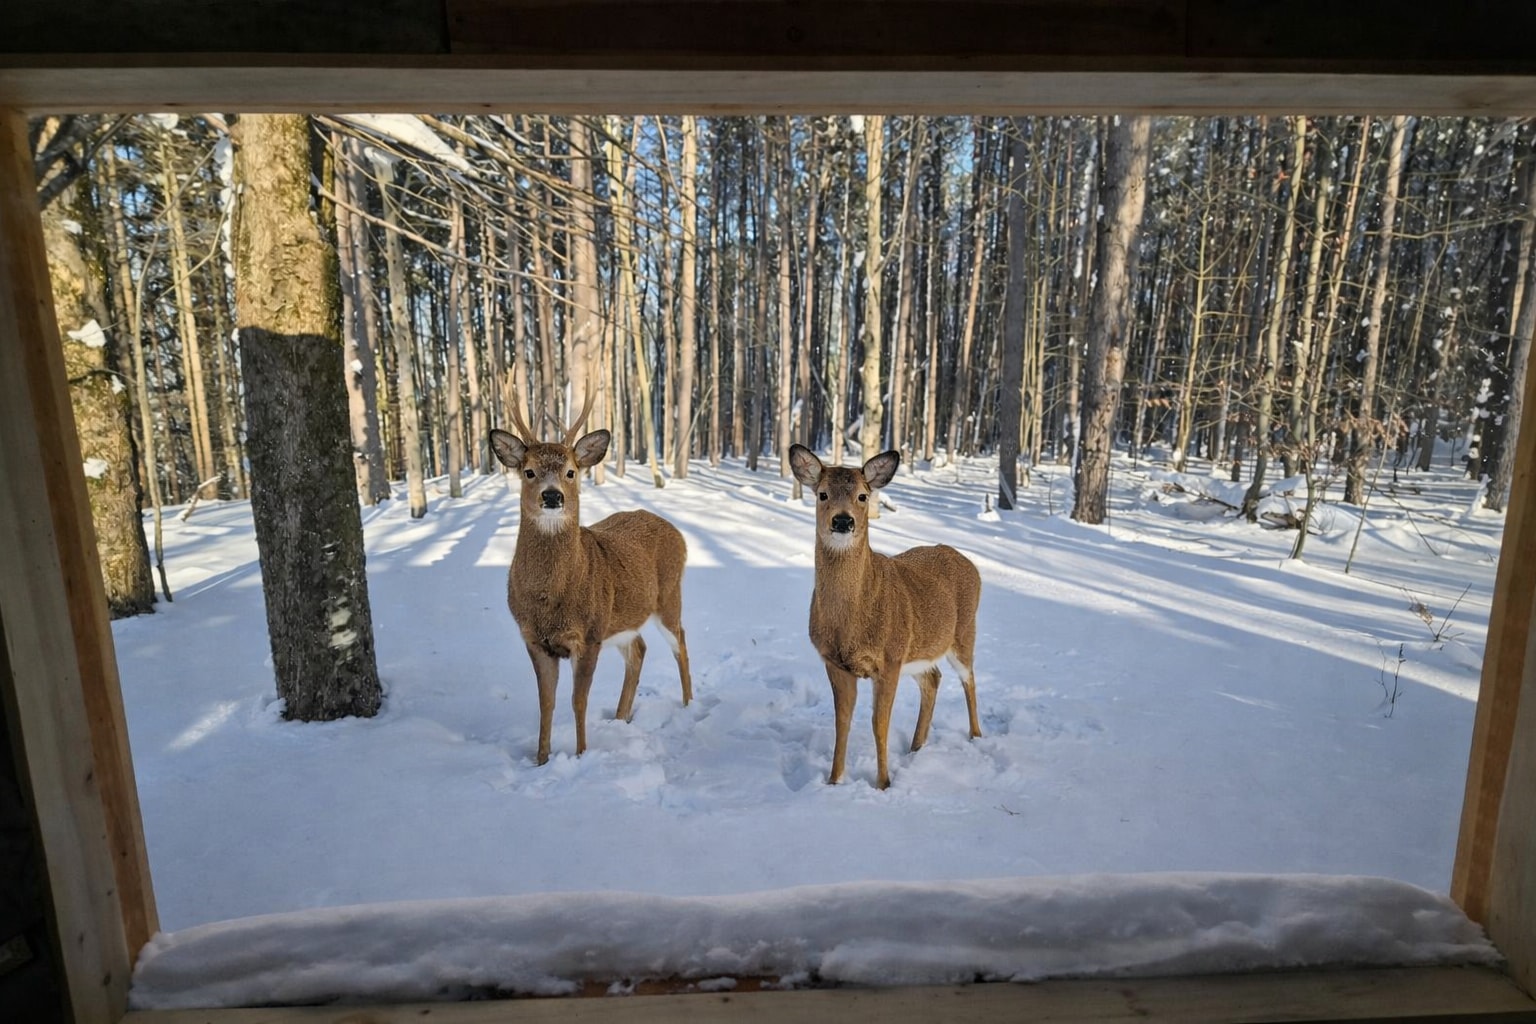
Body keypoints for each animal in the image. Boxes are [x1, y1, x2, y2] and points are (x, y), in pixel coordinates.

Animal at [490, 392, 693, 765]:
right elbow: (547, 703)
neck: (550, 601)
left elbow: (577, 701)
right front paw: (541, 760)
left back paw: (688, 704)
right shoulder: (534, 640)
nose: (552, 495)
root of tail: (676, 531)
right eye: (528, 471)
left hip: (669, 595)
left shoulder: (589, 636)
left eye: (571, 472)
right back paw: (620, 717)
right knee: (639, 649)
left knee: (680, 643)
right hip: (622, 618)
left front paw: (581, 755)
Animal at [789, 445, 982, 790]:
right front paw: (834, 781)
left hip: (963, 632)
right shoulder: (835, 662)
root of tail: (970, 564)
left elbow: (879, 723)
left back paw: (975, 736)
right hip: (918, 650)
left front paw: (883, 783)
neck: (850, 624)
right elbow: (842, 721)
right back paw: (916, 747)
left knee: (969, 680)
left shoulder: (889, 659)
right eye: (822, 494)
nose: (843, 521)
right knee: (933, 678)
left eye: (863, 496)